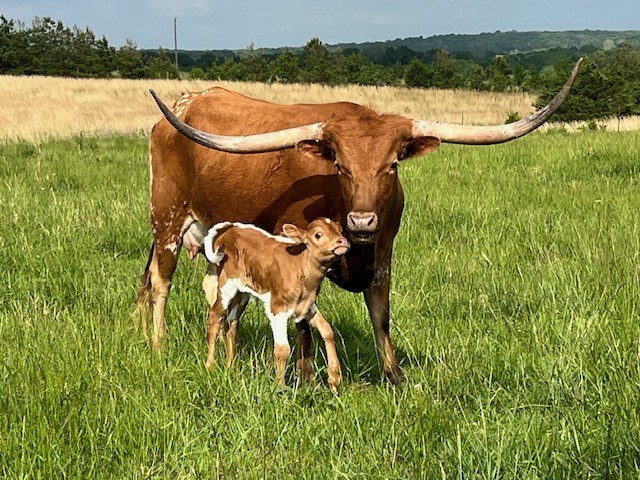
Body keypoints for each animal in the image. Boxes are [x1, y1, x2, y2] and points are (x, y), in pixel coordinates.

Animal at [200, 218, 350, 393]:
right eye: (318, 234)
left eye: (340, 230)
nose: (342, 241)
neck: (301, 266)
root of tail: (231, 228)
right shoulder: (278, 309)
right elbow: (282, 350)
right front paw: (280, 387)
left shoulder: (307, 306)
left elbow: (327, 331)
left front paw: (334, 378)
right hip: (226, 285)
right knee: (214, 318)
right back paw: (209, 366)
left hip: (242, 293)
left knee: (231, 324)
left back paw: (230, 366)